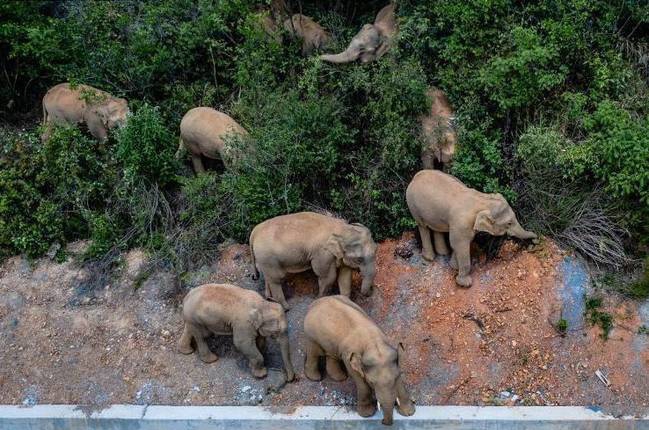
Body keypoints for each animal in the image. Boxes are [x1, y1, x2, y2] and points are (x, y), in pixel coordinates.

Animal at [249, 211, 380, 310]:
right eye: (359, 259)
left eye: (376, 249)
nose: (372, 289)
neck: (342, 229)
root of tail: (254, 231)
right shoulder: (323, 254)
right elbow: (328, 277)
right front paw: (319, 300)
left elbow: (345, 278)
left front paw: (346, 302)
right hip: (268, 258)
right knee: (276, 279)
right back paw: (286, 308)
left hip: (265, 260)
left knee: (269, 277)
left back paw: (269, 299)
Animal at [304, 294, 416, 424]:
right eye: (372, 382)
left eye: (396, 377)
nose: (383, 422)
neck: (373, 343)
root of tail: (316, 302)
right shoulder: (349, 356)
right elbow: (360, 381)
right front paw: (367, 414)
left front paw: (409, 413)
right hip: (311, 335)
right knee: (314, 352)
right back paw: (315, 378)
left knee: (331, 354)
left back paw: (340, 378)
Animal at [404, 170, 536, 288]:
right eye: (509, 223)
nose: (535, 241)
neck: (482, 200)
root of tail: (416, 176)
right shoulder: (461, 223)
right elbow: (459, 244)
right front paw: (465, 283)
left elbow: (459, 244)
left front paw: (453, 266)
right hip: (412, 204)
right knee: (423, 226)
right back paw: (429, 258)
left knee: (437, 228)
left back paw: (443, 253)